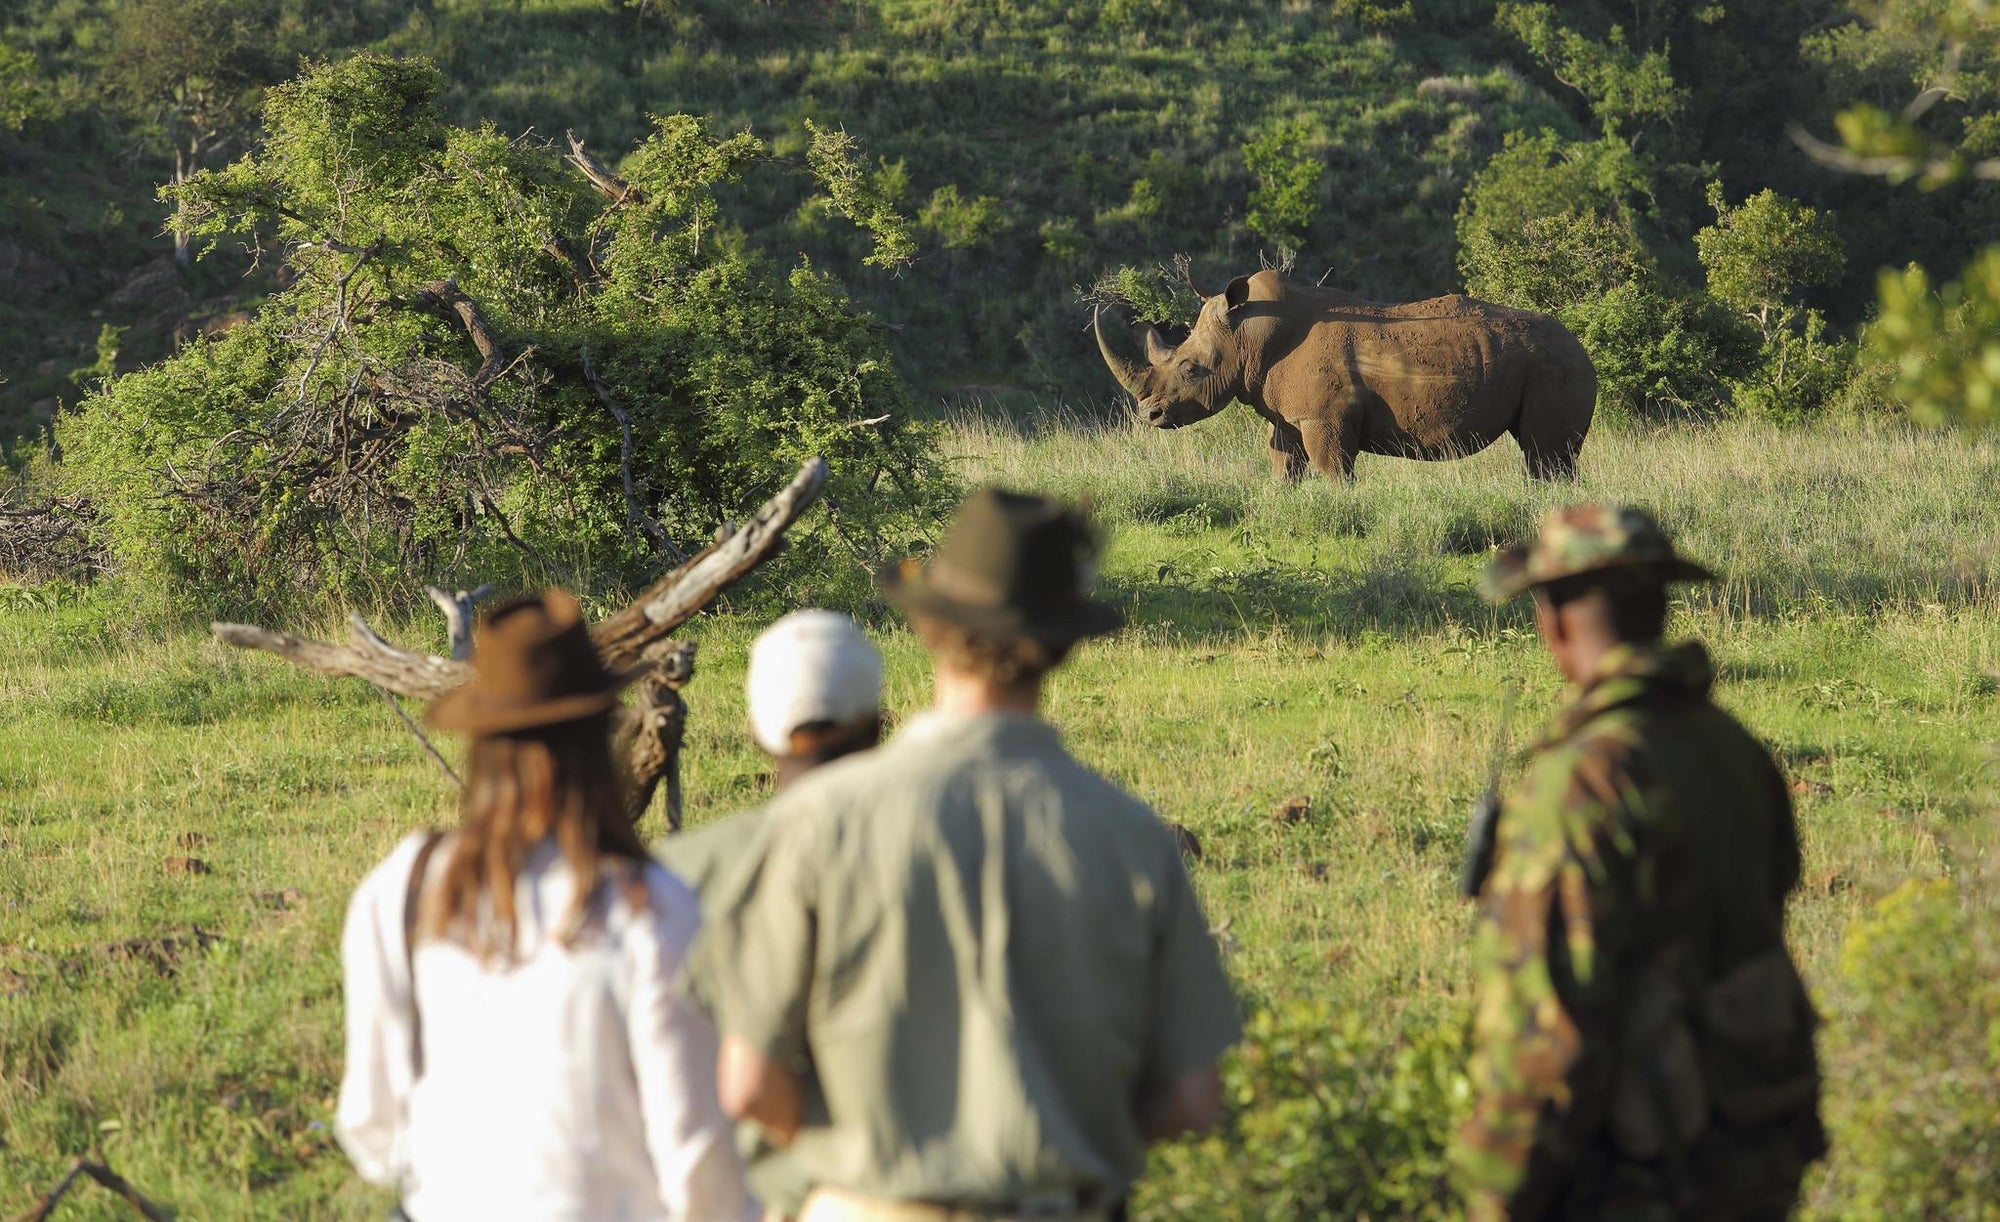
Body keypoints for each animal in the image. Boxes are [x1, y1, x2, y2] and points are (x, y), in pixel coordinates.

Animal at [1094, 269, 1596, 481]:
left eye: (1190, 369)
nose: (1150, 415)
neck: (1248, 335)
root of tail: (1582, 346)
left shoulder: (1325, 418)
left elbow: (1333, 470)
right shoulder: (1291, 417)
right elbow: (1283, 464)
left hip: (1556, 366)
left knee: (1546, 455)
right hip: (1549, 363)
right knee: (1546, 457)